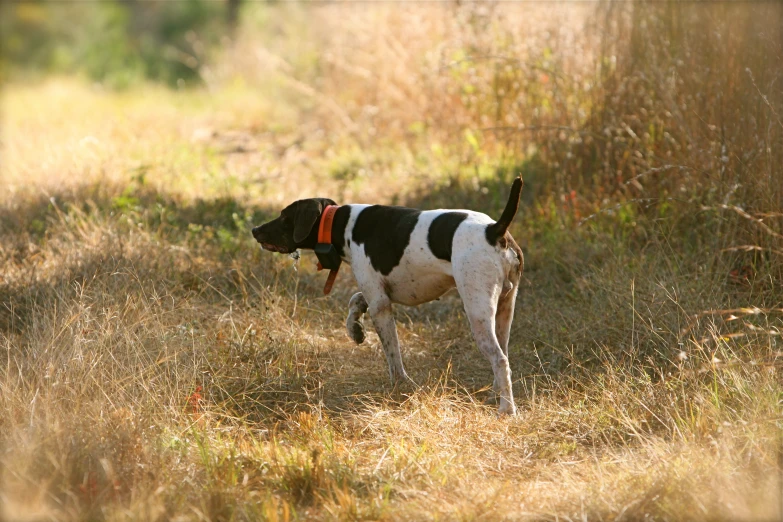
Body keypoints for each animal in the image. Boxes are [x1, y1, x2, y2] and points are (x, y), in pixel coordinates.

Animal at [254, 177, 524, 412]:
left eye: (284, 216)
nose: (255, 229)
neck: (341, 223)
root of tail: (494, 230)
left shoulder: (381, 305)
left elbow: (393, 355)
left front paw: (400, 385)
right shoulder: (378, 293)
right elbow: (355, 299)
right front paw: (355, 329)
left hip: (478, 312)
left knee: (499, 359)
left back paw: (506, 410)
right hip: (504, 311)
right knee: (504, 356)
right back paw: (495, 396)